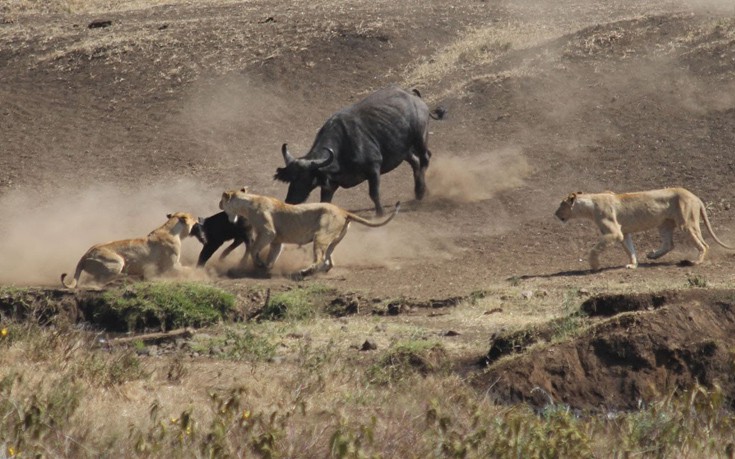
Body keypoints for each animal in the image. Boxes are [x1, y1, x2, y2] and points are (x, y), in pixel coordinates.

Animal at [272, 86, 440, 216]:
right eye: (291, 179)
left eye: (304, 178)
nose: (290, 200)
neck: (342, 148)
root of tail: (413, 96)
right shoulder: (330, 185)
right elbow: (325, 202)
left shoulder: (374, 169)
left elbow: (374, 194)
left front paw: (380, 213)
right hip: (403, 150)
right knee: (415, 162)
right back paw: (418, 191)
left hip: (419, 139)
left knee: (425, 158)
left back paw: (421, 191)